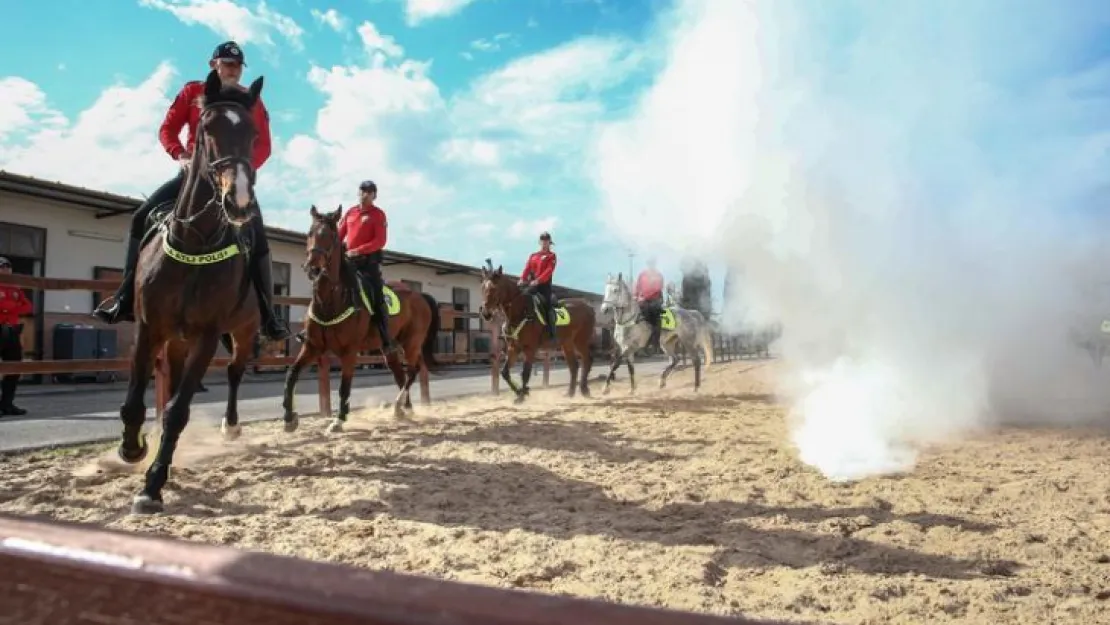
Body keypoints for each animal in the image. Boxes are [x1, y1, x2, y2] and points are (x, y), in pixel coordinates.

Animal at [112, 71, 266, 515]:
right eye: (207, 129)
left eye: (254, 135)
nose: (239, 201)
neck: (196, 244)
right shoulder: (149, 328)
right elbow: (136, 401)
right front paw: (132, 449)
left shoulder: (207, 336)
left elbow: (178, 411)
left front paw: (152, 485)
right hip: (175, 340)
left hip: (243, 332)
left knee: (234, 373)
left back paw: (230, 426)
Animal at [281, 203, 441, 432]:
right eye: (310, 233)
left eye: (330, 235)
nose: (313, 267)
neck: (331, 300)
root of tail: (420, 295)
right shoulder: (312, 347)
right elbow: (291, 374)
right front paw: (289, 418)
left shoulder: (349, 352)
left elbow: (344, 386)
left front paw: (339, 420)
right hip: (390, 348)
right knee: (400, 374)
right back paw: (405, 409)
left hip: (411, 342)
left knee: (413, 370)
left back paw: (398, 405)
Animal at [479, 263, 599, 401]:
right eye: (483, 287)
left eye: (494, 288)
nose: (486, 313)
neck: (521, 312)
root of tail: (588, 307)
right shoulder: (513, 348)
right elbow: (505, 373)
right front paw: (520, 392)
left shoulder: (530, 349)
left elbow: (525, 373)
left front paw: (521, 396)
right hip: (567, 344)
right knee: (574, 366)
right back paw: (570, 393)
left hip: (580, 342)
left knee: (587, 360)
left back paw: (584, 390)